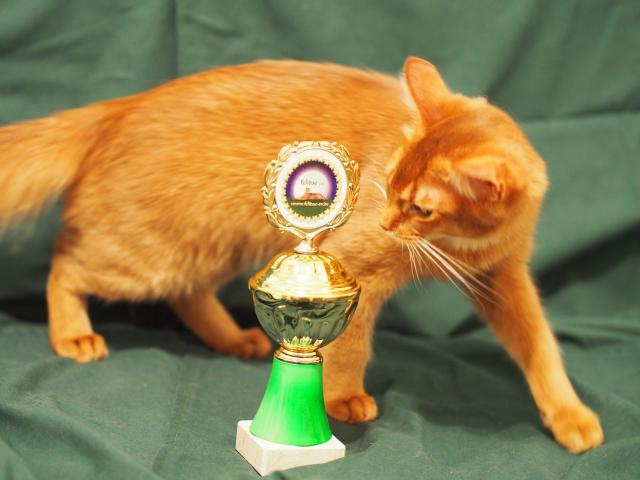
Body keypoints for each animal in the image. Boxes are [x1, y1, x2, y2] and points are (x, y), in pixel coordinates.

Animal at [0, 56, 603, 453]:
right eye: (390, 181)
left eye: (422, 209)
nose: (385, 221)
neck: (460, 247)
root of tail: (122, 106)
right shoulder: (358, 270)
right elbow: (351, 348)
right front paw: (342, 400)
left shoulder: (505, 278)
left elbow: (542, 348)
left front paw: (569, 415)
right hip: (146, 256)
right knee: (65, 261)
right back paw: (73, 334)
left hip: (206, 247)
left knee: (184, 293)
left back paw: (232, 338)